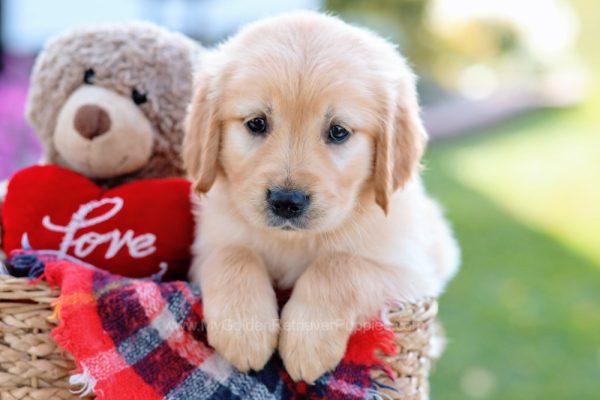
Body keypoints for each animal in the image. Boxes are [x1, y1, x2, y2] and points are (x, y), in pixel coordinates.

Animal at [183, 10, 460, 382]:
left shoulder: (409, 274)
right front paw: (244, 331)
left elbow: (339, 264)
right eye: (256, 123)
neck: (293, 242)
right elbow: (233, 254)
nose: (287, 202)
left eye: (338, 131)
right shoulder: (204, 251)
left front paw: (307, 342)